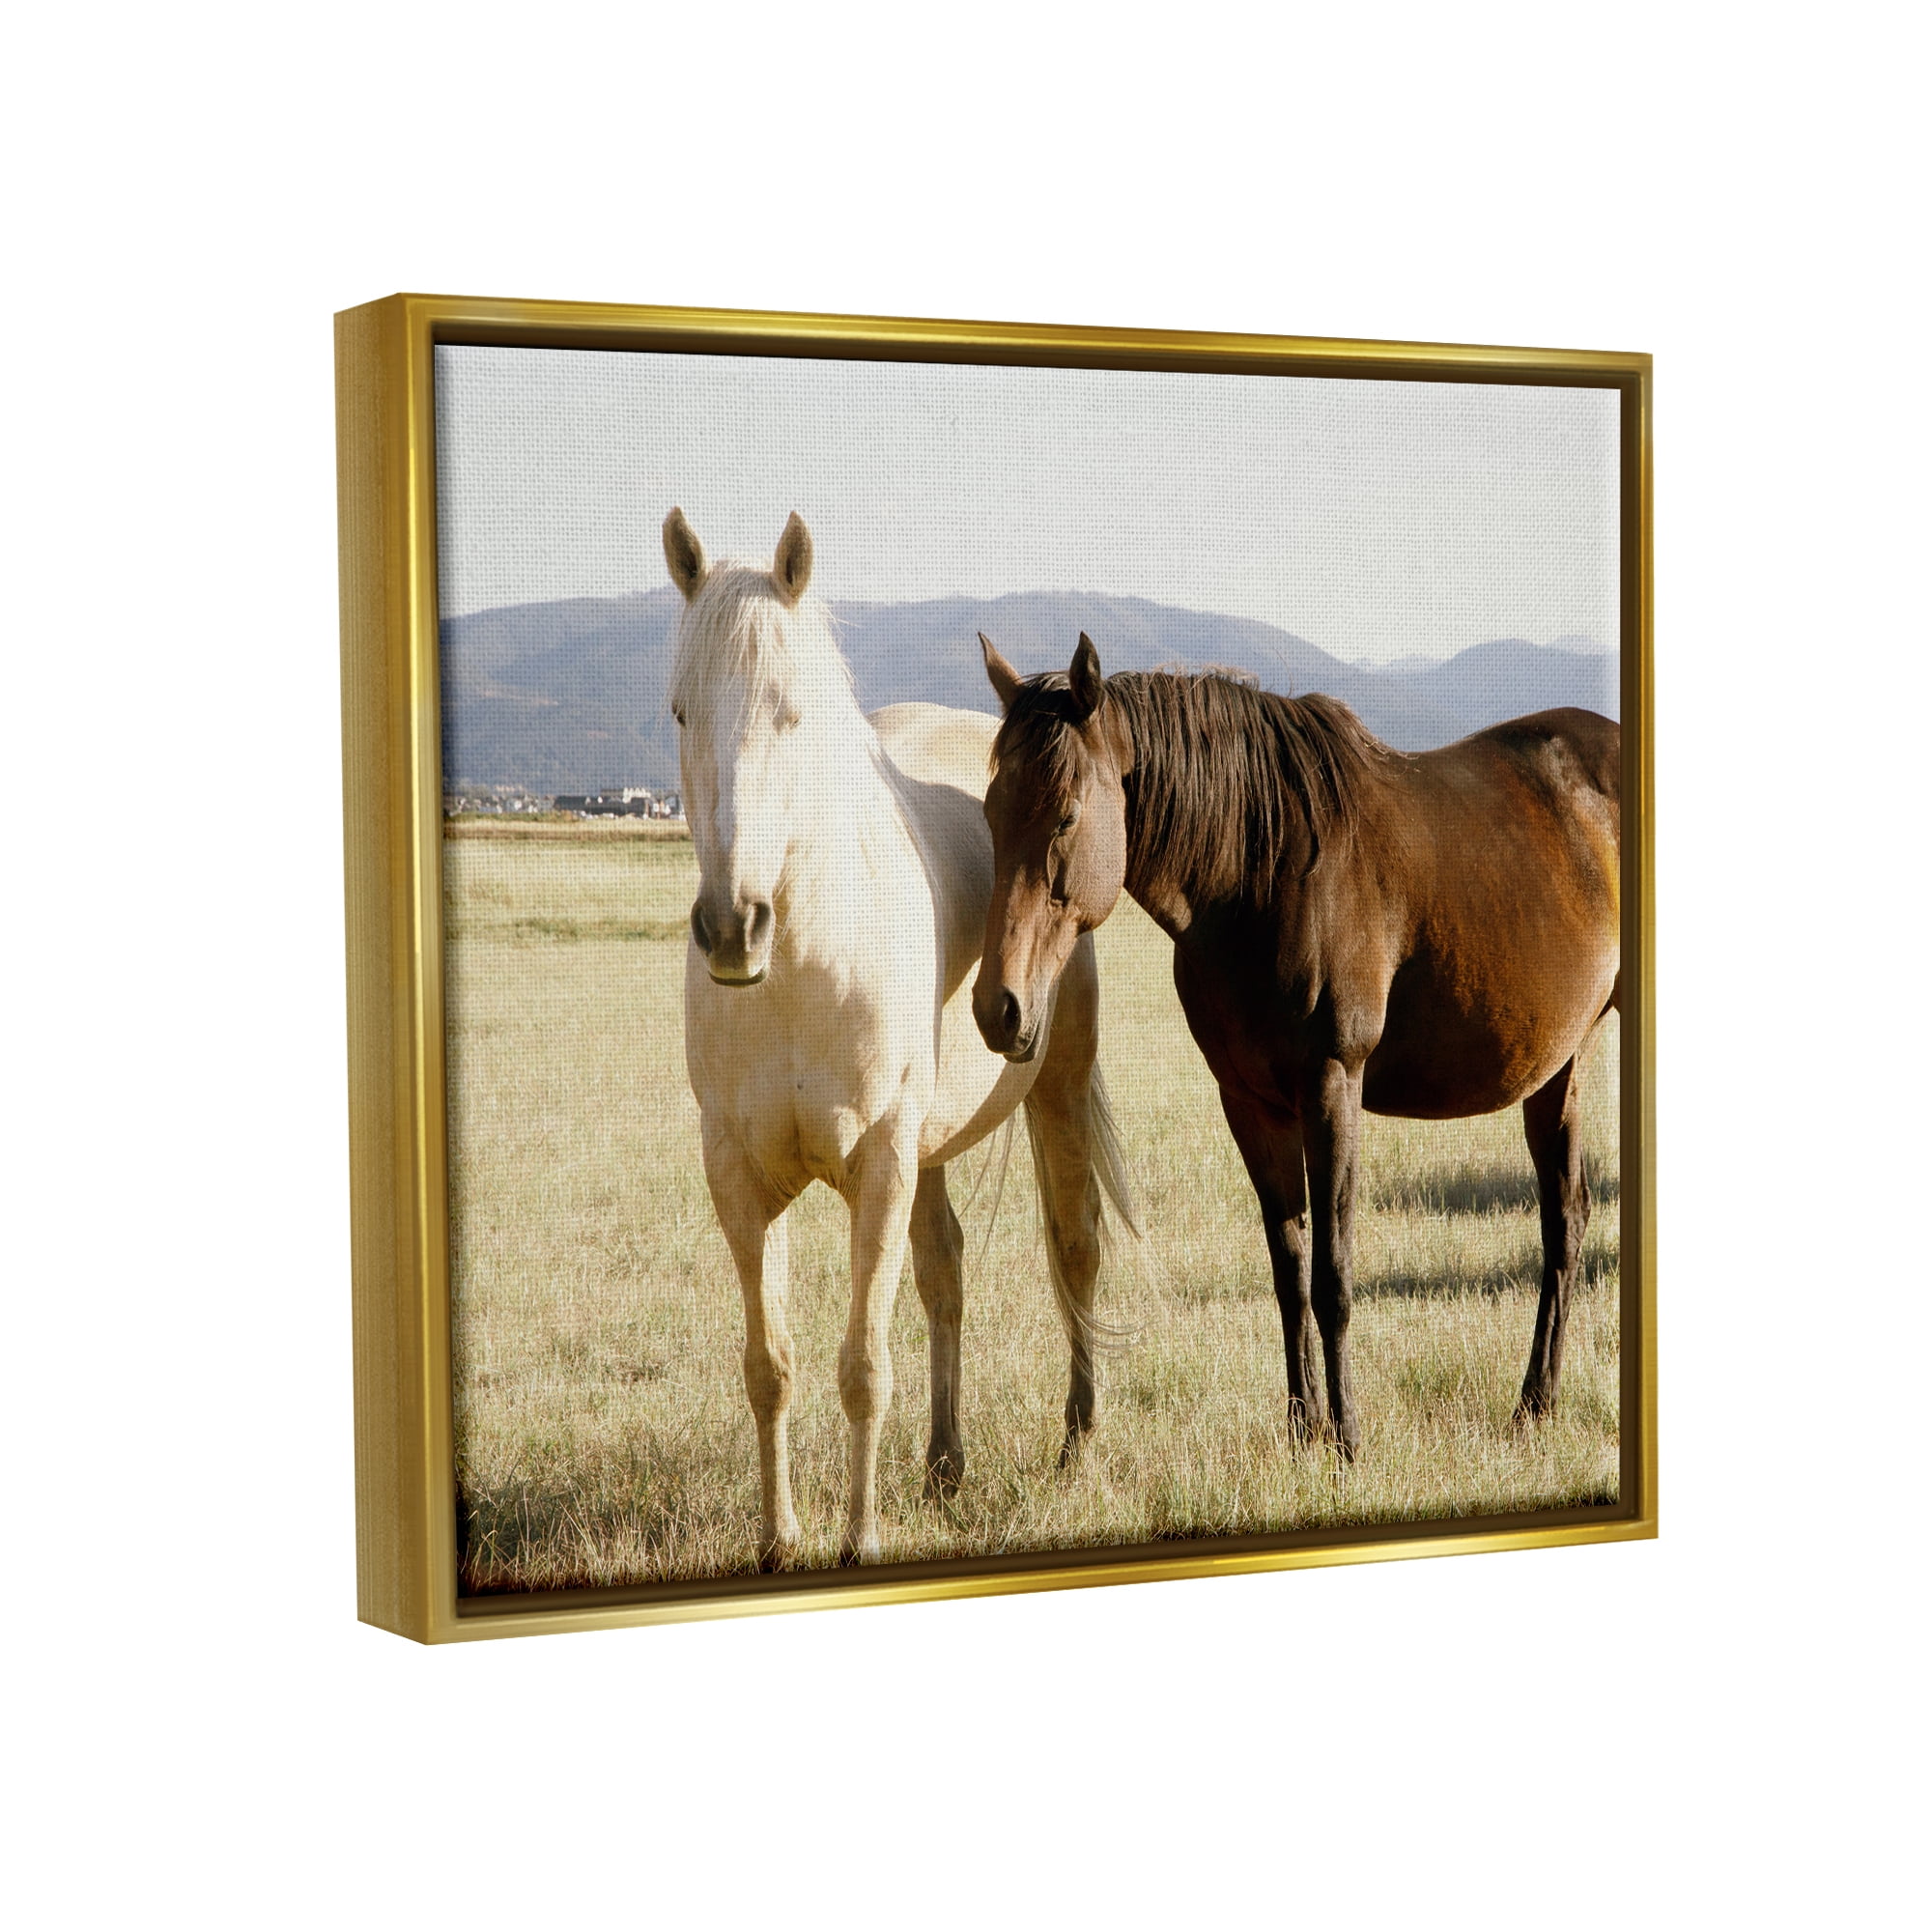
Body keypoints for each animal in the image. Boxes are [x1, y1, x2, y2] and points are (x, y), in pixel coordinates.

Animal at [663, 512, 1136, 1565]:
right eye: (678, 711)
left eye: (792, 713)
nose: (731, 928)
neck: (804, 967)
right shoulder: (735, 1173)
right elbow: (771, 1366)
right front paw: (778, 1540)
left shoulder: (878, 1163)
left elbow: (862, 1367)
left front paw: (860, 1540)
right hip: (928, 1145)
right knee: (946, 1271)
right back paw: (944, 1462)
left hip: (1051, 1085)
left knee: (1074, 1247)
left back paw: (1078, 1446)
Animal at [971, 631, 1620, 1457]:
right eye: (991, 815)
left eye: (1065, 818)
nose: (1000, 1009)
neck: (1261, 872)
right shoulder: (1250, 1103)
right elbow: (1289, 1272)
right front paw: (1301, 1429)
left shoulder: (1331, 1086)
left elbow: (1333, 1277)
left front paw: (1346, 1439)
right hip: (1559, 1067)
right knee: (1564, 1219)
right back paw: (1536, 1404)